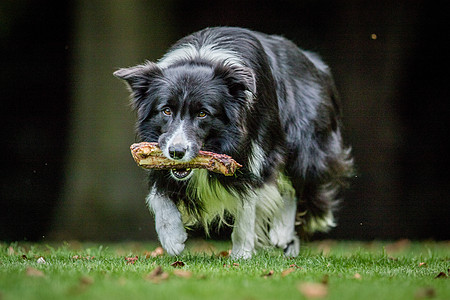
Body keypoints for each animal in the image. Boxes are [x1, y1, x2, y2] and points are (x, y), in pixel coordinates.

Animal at [114, 27, 354, 258]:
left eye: (203, 113)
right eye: (166, 110)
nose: (176, 152)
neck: (200, 58)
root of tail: (313, 61)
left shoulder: (252, 151)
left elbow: (247, 201)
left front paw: (241, 252)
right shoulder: (159, 152)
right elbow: (158, 195)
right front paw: (172, 238)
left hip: (305, 144)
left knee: (296, 183)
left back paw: (282, 232)